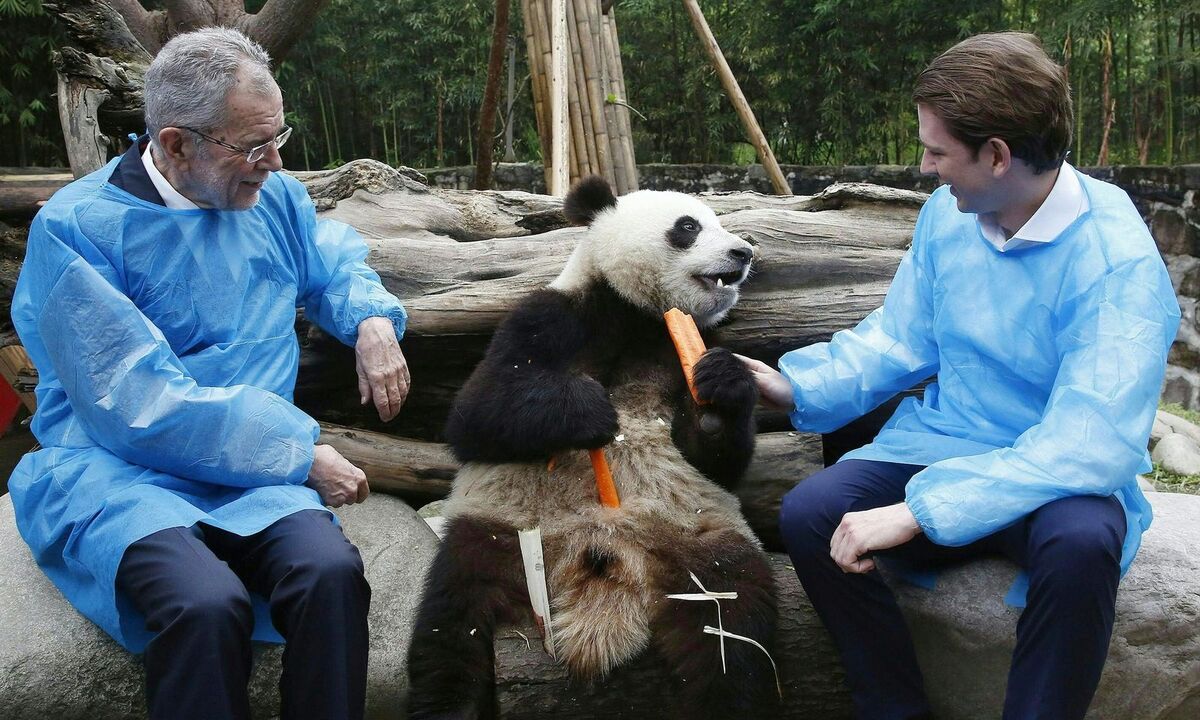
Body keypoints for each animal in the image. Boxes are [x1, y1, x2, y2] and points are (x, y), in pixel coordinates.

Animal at [407, 176, 778, 719]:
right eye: (689, 226)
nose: (743, 252)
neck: (641, 315)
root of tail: (607, 560)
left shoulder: (690, 344)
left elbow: (715, 460)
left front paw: (720, 389)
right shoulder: (553, 316)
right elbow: (475, 412)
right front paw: (588, 411)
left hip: (701, 540)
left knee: (734, 622)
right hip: (501, 533)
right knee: (452, 623)